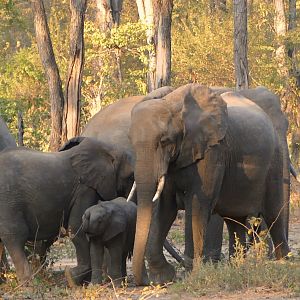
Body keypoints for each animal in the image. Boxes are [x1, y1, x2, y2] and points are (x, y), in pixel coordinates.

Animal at [130, 83, 290, 284]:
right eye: (131, 143)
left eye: (164, 141)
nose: (144, 281)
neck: (173, 105)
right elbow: (166, 208)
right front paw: (163, 278)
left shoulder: (213, 151)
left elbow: (197, 205)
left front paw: (192, 273)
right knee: (234, 220)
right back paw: (236, 267)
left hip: (274, 161)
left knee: (273, 211)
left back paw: (283, 262)